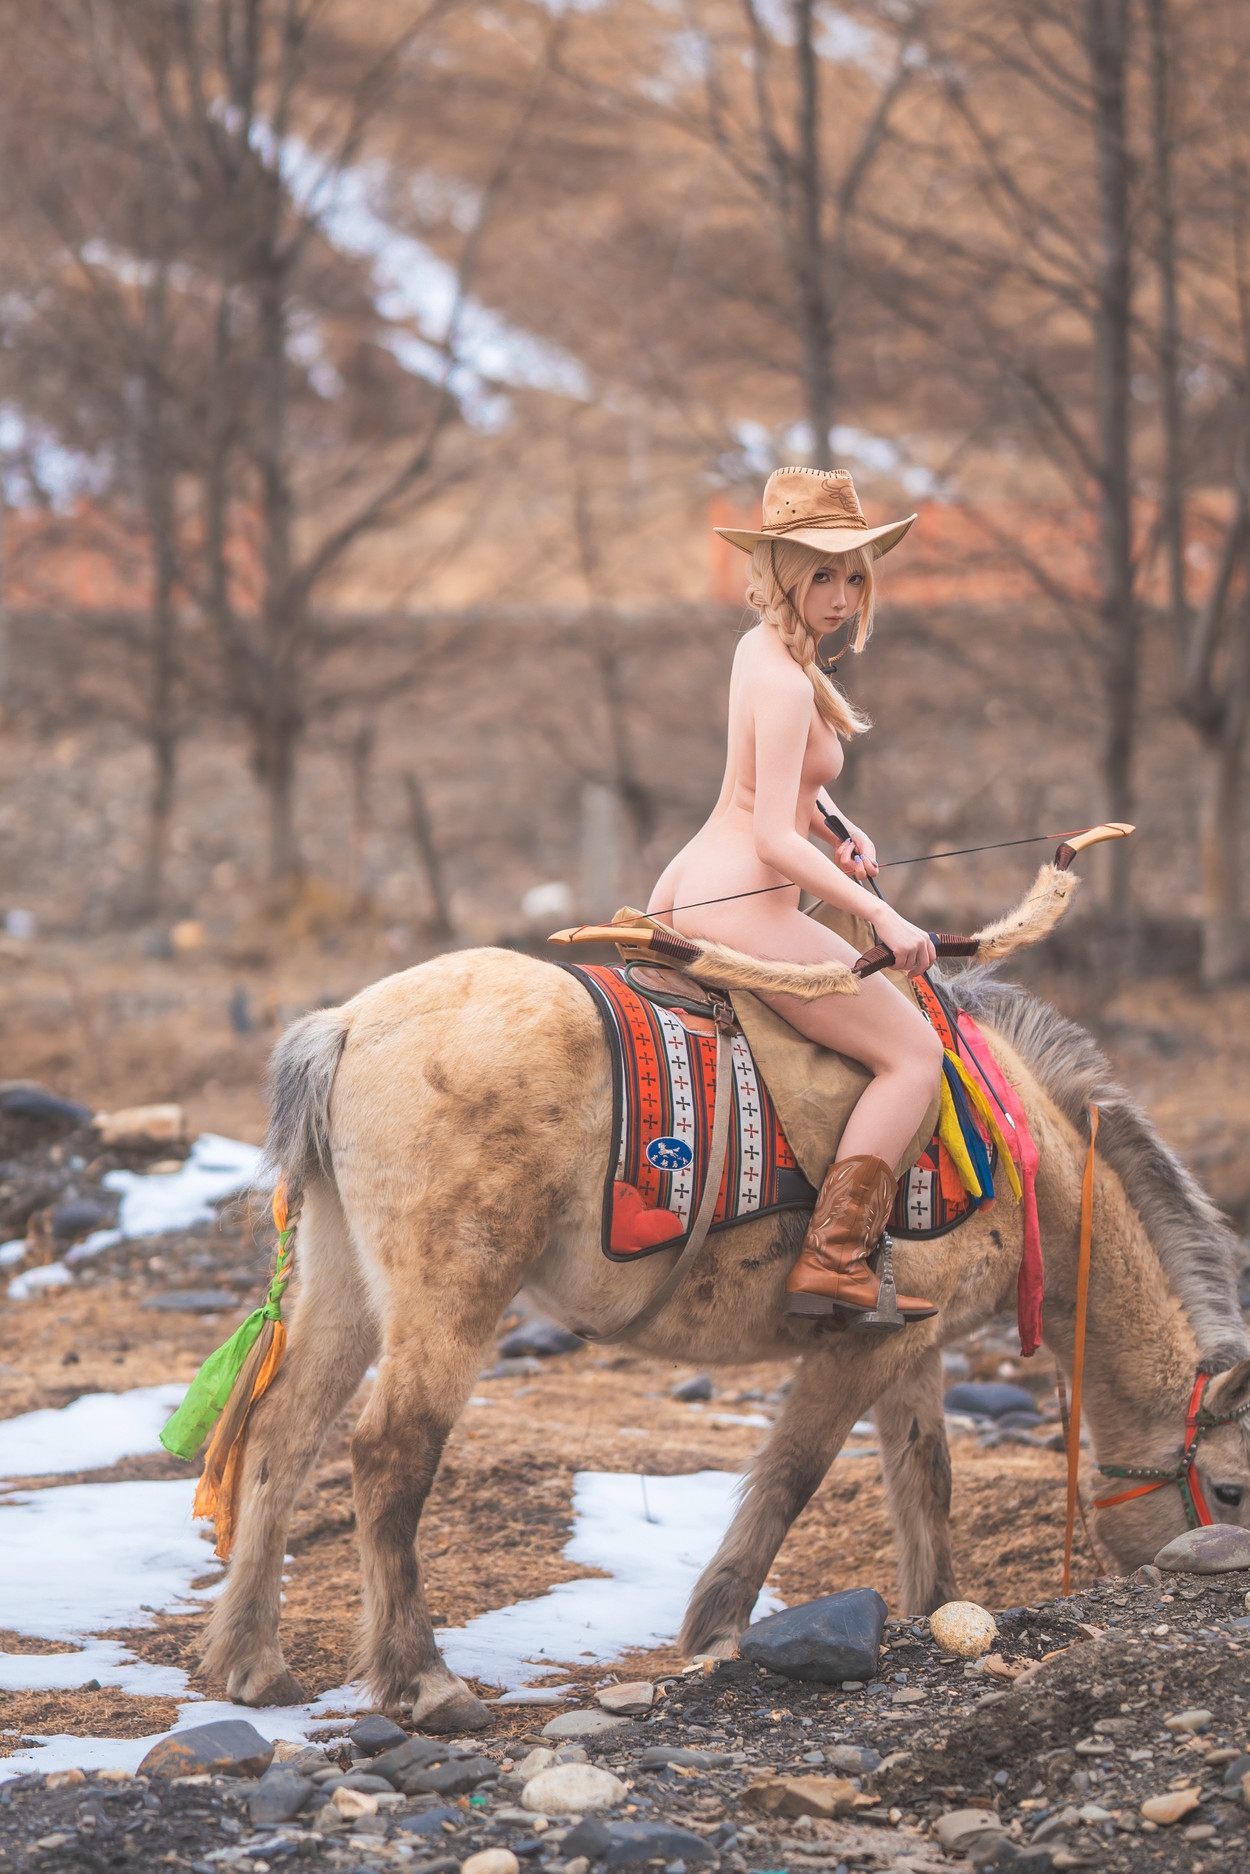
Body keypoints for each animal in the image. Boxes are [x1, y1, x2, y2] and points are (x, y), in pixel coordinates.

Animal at [197, 944, 1250, 1731]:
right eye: (1233, 1487)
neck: (1026, 1154)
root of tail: (348, 1025)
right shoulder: (858, 1351)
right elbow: (793, 1474)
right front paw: (716, 1629)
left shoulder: (916, 1345)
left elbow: (925, 1478)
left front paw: (937, 1608)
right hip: (451, 1292)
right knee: (388, 1453)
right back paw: (423, 1681)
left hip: (342, 1281)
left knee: (282, 1437)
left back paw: (254, 1663)